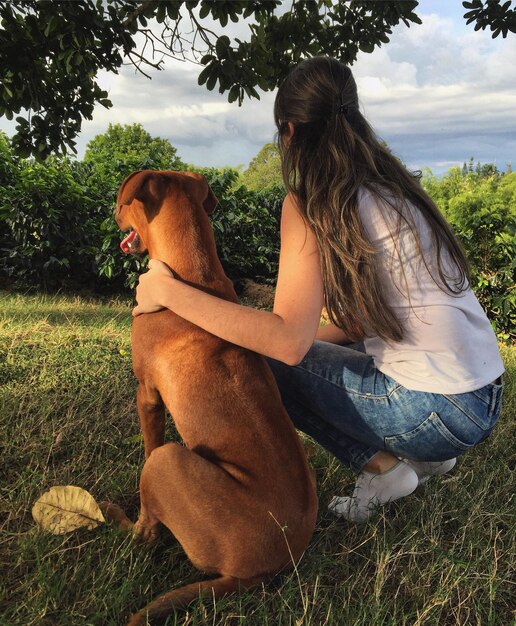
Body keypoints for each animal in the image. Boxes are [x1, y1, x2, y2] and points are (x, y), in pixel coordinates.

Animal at [103, 171, 316, 624]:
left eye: (123, 203)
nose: (112, 212)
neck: (191, 274)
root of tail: (254, 574)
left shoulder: (147, 395)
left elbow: (147, 441)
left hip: (168, 461)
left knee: (146, 533)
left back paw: (116, 519)